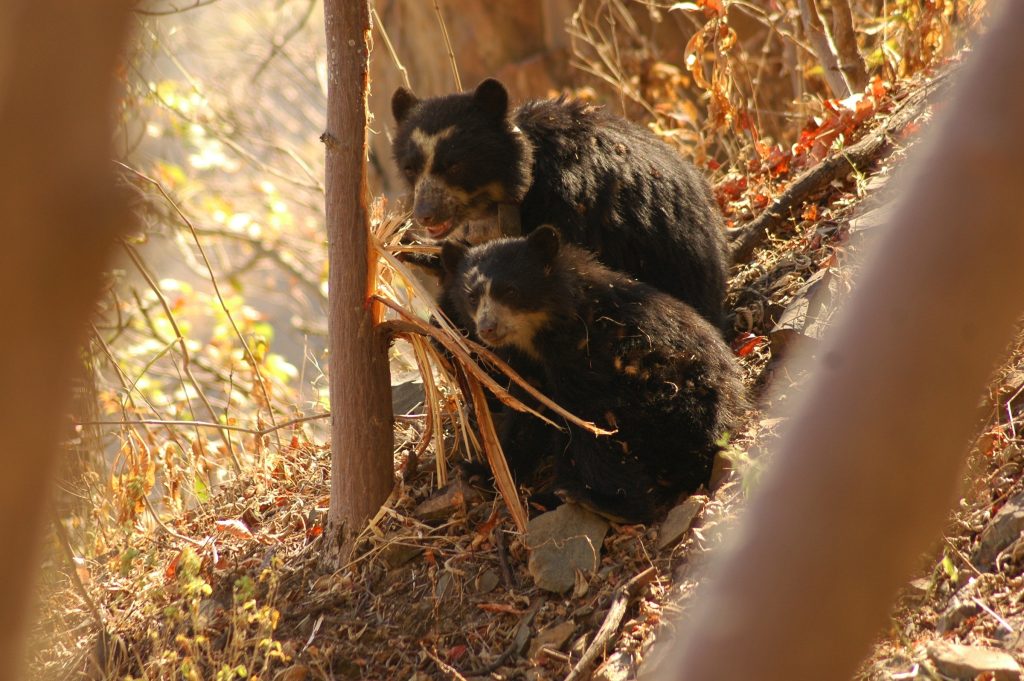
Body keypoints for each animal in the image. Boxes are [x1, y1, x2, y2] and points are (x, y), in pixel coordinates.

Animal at [441, 226, 746, 523]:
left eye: (510, 291)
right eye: (471, 297)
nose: (487, 328)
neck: (539, 334)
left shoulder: (586, 356)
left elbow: (578, 422)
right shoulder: (525, 366)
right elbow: (527, 412)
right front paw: (480, 471)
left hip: (665, 401)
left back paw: (598, 502)